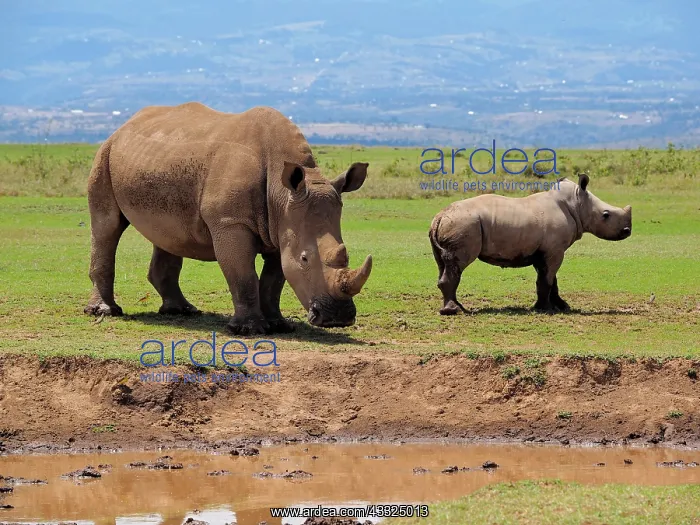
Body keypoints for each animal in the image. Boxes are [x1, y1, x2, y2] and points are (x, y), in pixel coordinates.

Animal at [84, 102, 373, 334]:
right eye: (305, 259)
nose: (337, 318)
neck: (281, 194)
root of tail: (123, 126)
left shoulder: (281, 227)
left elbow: (274, 279)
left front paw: (279, 325)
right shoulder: (230, 222)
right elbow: (243, 276)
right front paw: (250, 329)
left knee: (167, 234)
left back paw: (182, 311)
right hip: (104, 155)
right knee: (107, 227)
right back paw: (104, 312)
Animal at [429, 174, 631, 314]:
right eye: (606, 215)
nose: (628, 231)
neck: (576, 205)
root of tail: (439, 217)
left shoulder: (544, 251)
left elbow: (550, 279)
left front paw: (562, 307)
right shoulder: (554, 250)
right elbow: (547, 279)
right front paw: (546, 309)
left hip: (452, 225)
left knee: (444, 264)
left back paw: (457, 308)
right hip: (463, 225)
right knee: (457, 264)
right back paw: (454, 311)